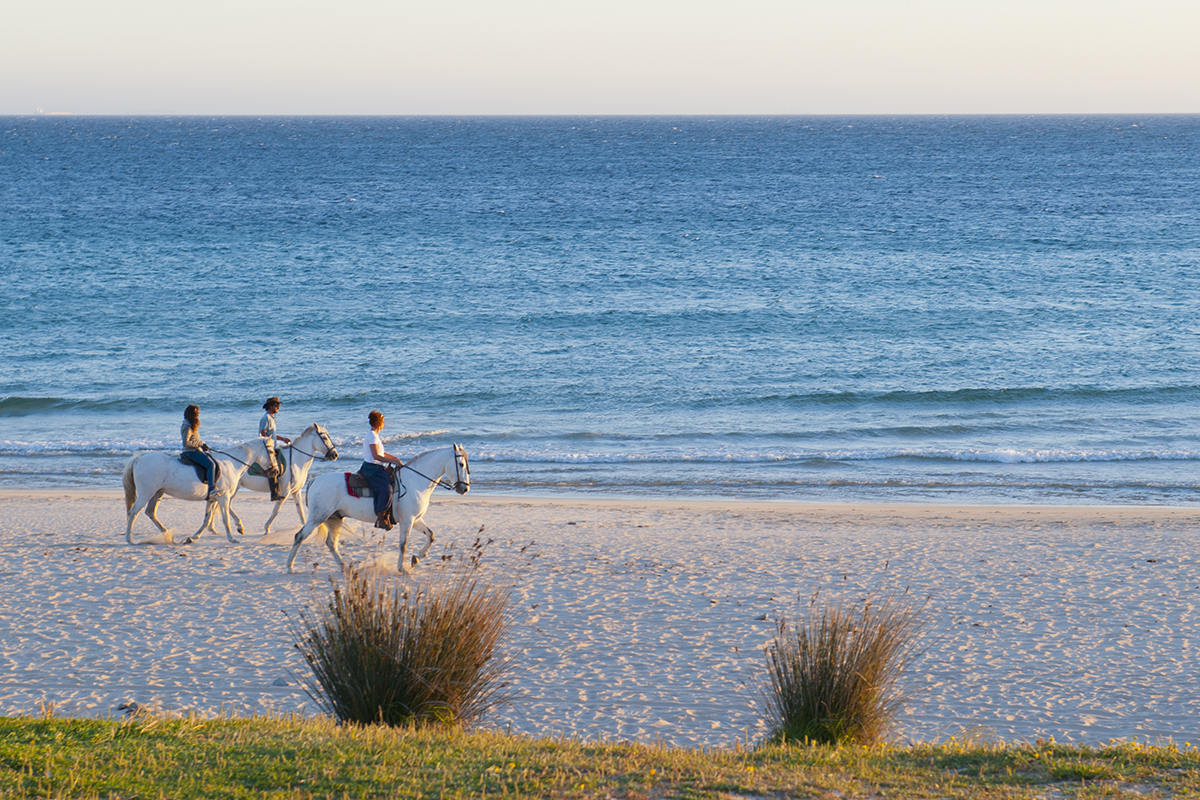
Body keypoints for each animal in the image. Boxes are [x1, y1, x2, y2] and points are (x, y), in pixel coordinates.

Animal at [122, 437, 277, 545]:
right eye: (271, 451)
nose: (275, 471)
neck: (231, 464)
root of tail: (139, 458)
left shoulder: (213, 499)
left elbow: (207, 520)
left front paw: (193, 537)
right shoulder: (224, 497)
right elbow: (225, 518)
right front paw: (232, 537)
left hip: (157, 493)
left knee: (150, 512)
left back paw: (167, 535)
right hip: (146, 493)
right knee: (133, 512)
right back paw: (129, 539)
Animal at [285, 444, 470, 574]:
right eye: (461, 464)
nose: (465, 488)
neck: (414, 481)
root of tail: (314, 481)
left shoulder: (415, 519)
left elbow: (430, 536)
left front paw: (415, 560)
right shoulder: (407, 521)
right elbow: (403, 544)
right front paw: (402, 568)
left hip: (335, 518)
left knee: (331, 543)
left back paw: (345, 567)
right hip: (318, 516)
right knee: (299, 536)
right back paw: (289, 567)